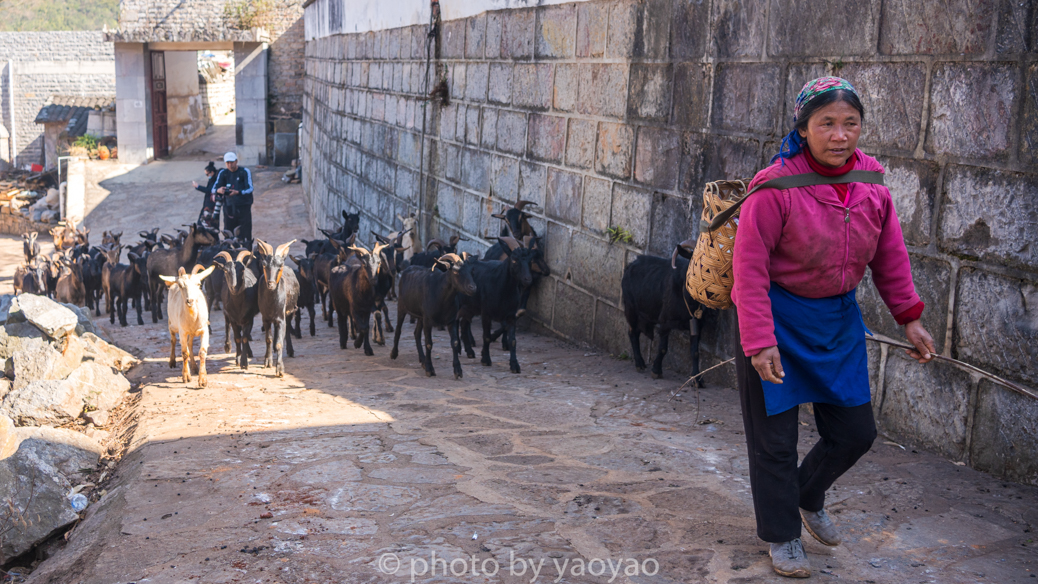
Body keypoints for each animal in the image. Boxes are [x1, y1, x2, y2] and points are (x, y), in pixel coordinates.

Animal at [253, 238, 298, 379]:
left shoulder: (280, 318)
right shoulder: (265, 318)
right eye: (264, 265)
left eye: (280, 266)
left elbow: (279, 342)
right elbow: (268, 339)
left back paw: (290, 350)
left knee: (287, 330)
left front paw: (280, 369)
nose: (271, 284)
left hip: (289, 312)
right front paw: (267, 362)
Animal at [458, 235, 535, 373]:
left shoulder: (511, 315)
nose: (528, 279)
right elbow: (486, 336)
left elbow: (513, 340)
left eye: (530, 260)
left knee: (464, 324)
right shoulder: (486, 313)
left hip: (470, 307)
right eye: (514, 260)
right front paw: (485, 359)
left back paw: (470, 351)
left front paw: (515, 365)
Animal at [618, 240, 701, 383]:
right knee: (632, 332)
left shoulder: (697, 325)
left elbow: (695, 352)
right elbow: (662, 348)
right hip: (631, 308)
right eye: (693, 259)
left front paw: (697, 379)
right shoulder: (665, 321)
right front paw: (656, 371)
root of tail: (630, 265)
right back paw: (639, 364)